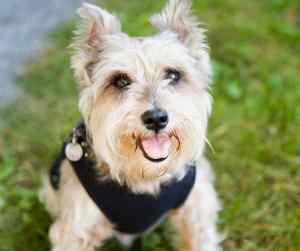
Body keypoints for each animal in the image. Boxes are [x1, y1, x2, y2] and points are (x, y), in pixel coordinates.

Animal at [39, 0, 223, 250]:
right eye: (120, 81)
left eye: (173, 75)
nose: (156, 118)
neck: (146, 176)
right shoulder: (75, 230)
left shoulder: (197, 214)